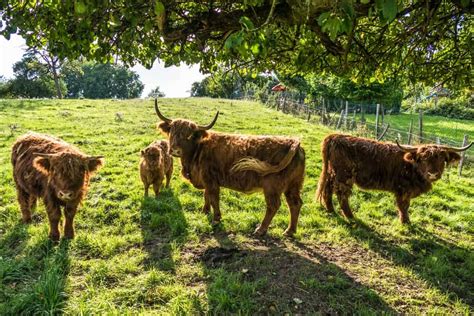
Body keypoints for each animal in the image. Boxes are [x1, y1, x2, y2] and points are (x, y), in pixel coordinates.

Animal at [154, 100, 306, 236]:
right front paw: (204, 211)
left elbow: (214, 199)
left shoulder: (211, 180)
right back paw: (290, 231)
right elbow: (206, 196)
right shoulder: (206, 181)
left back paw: (261, 229)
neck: (198, 150)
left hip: (272, 186)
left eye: (189, 135)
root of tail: (293, 142)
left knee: (274, 205)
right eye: (172, 132)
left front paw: (216, 219)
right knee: (295, 203)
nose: (175, 150)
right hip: (293, 185)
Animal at [316, 133, 472, 222]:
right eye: (423, 158)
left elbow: (405, 205)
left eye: (441, 158)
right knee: (341, 193)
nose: (433, 173)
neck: (413, 167)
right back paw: (350, 216)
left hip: (333, 172)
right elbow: (403, 205)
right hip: (344, 175)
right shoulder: (403, 189)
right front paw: (405, 222)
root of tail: (335, 136)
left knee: (328, 187)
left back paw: (330, 209)